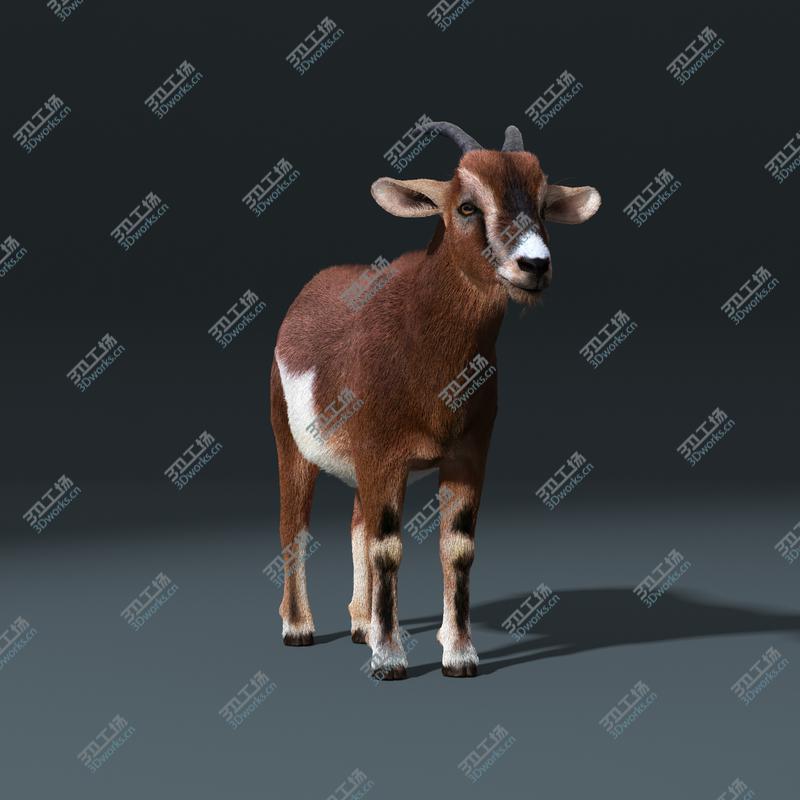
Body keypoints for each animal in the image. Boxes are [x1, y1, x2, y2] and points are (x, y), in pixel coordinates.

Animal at [270, 121, 600, 679]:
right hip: (290, 443)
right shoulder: (383, 455)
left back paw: (360, 625)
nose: (534, 264)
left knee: (356, 524)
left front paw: (459, 653)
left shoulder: (467, 454)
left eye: (542, 203)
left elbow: (457, 546)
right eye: (467, 206)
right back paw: (299, 629)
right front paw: (390, 660)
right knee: (295, 525)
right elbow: (387, 547)